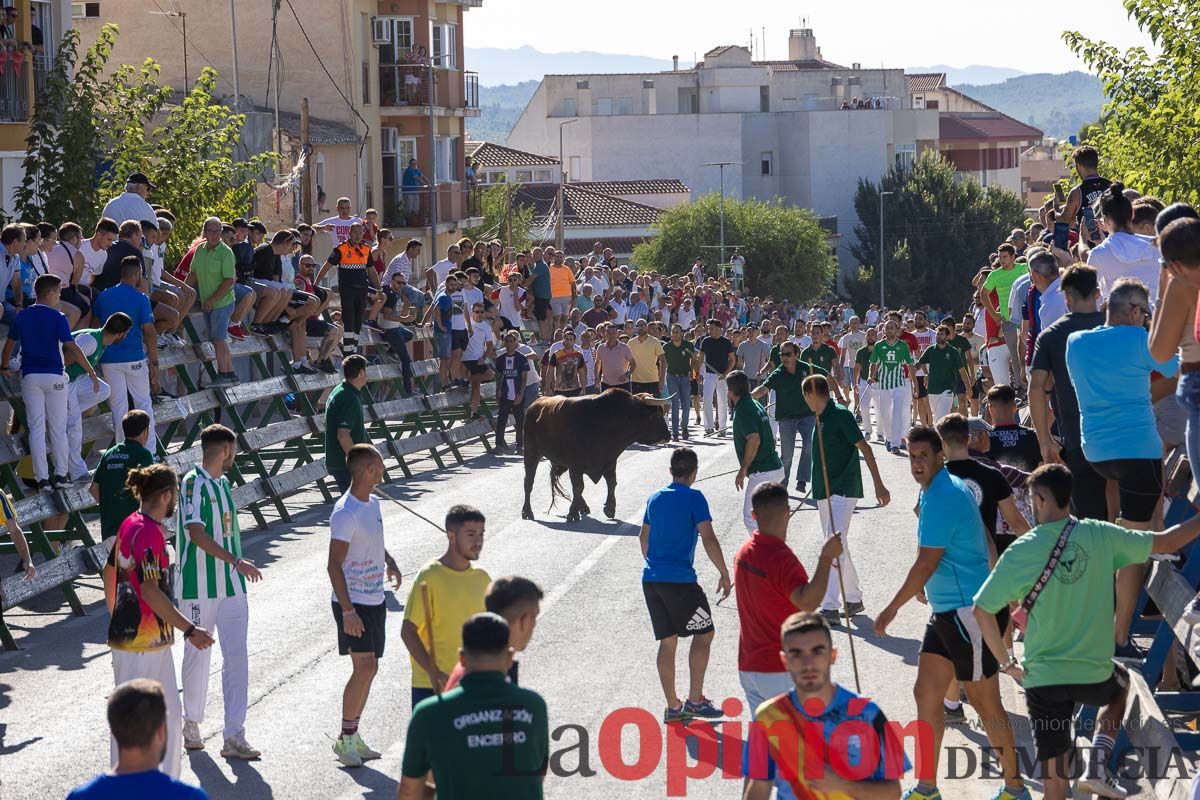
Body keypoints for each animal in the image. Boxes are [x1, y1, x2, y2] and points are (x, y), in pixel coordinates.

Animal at [520, 388, 676, 525]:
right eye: (656, 415)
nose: (667, 435)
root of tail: (533, 406)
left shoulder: (610, 461)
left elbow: (612, 483)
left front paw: (610, 508)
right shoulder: (576, 465)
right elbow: (578, 487)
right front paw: (572, 513)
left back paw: (583, 506)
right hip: (531, 453)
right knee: (528, 482)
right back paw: (527, 511)